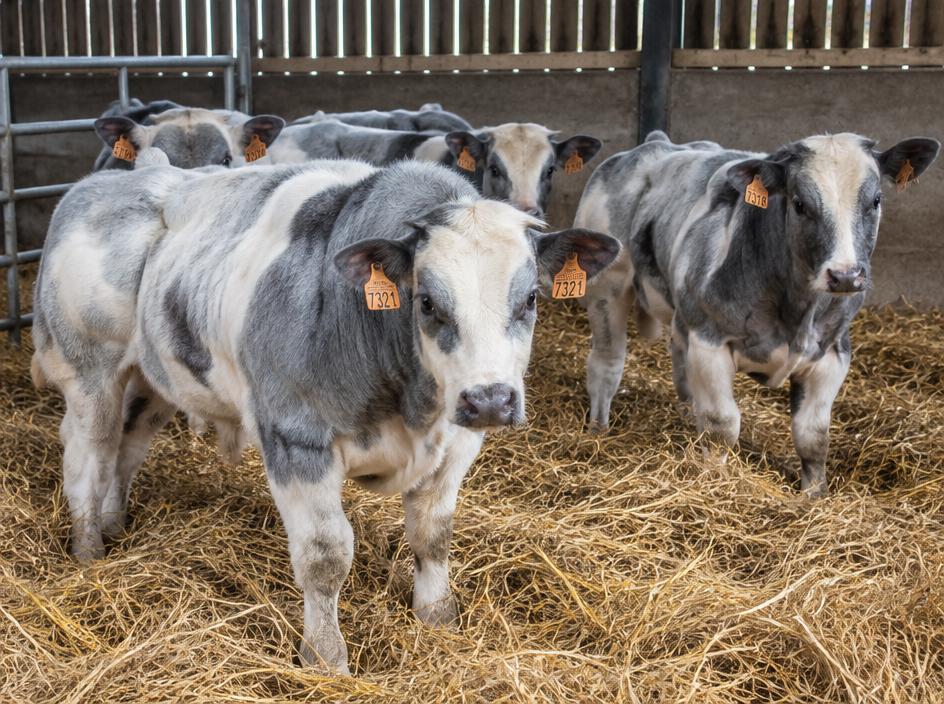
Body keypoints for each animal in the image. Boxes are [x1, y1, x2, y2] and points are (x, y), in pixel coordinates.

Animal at [31, 158, 620, 673]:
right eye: (427, 302)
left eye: (531, 299)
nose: (491, 399)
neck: (409, 405)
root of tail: (108, 182)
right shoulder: (295, 439)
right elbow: (325, 556)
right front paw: (324, 658)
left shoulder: (456, 444)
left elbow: (433, 536)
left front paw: (438, 621)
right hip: (90, 372)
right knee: (88, 458)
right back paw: (89, 550)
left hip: (156, 377)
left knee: (126, 450)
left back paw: (114, 523)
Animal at [574, 130, 940, 497]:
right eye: (799, 203)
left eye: (876, 200)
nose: (846, 276)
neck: (796, 315)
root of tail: (655, 143)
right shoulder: (709, 342)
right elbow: (721, 426)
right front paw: (716, 483)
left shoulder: (833, 354)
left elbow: (813, 436)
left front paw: (814, 495)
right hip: (607, 290)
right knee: (606, 365)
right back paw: (598, 432)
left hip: (681, 315)